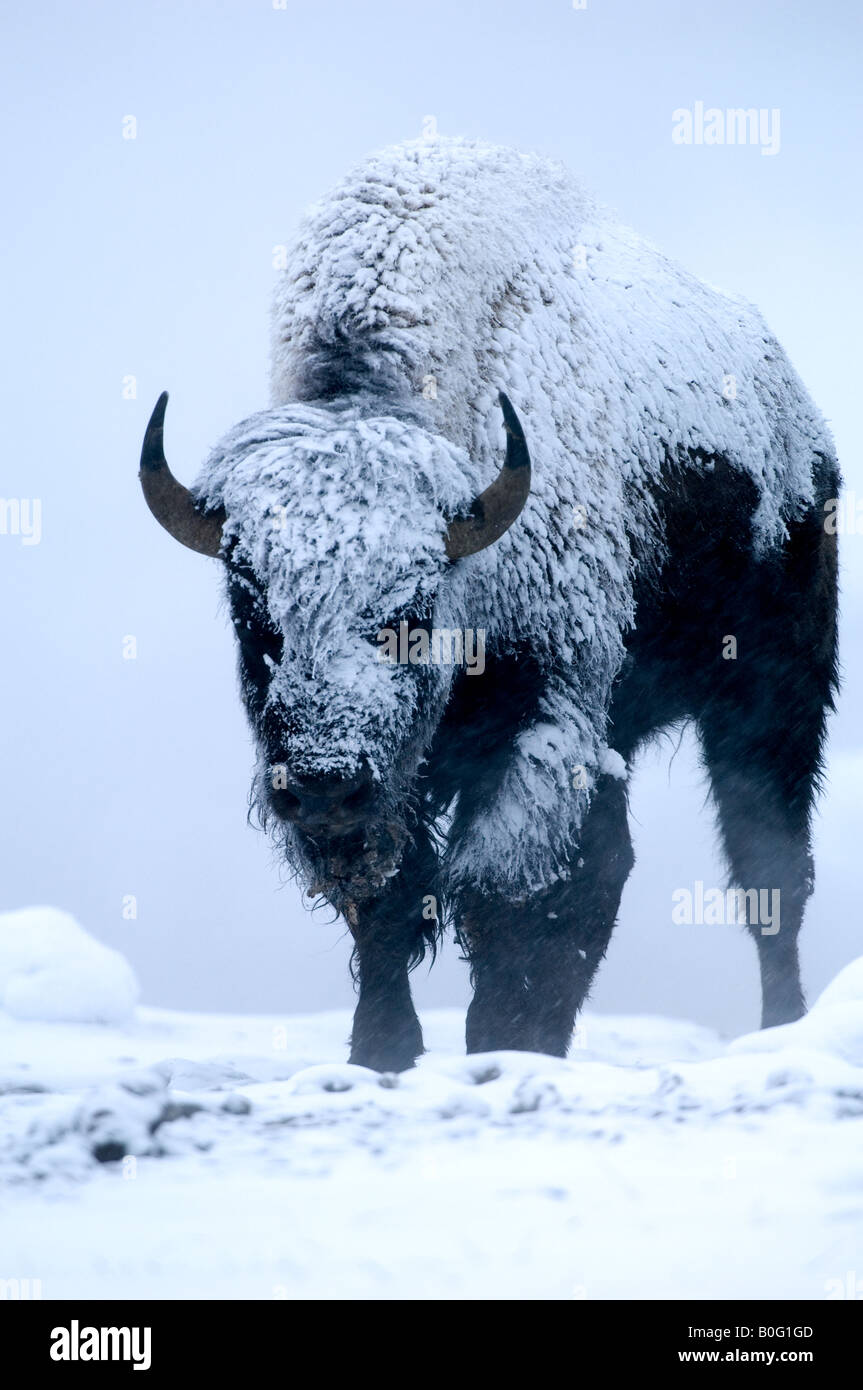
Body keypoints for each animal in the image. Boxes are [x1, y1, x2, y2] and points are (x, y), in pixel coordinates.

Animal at [139, 138, 833, 1073]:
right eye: (253, 612)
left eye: (414, 605)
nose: (324, 782)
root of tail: (794, 416)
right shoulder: (401, 786)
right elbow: (390, 906)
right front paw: (382, 1053)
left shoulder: (545, 725)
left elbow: (527, 896)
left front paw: (509, 1044)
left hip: (770, 703)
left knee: (771, 876)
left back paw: (781, 1030)